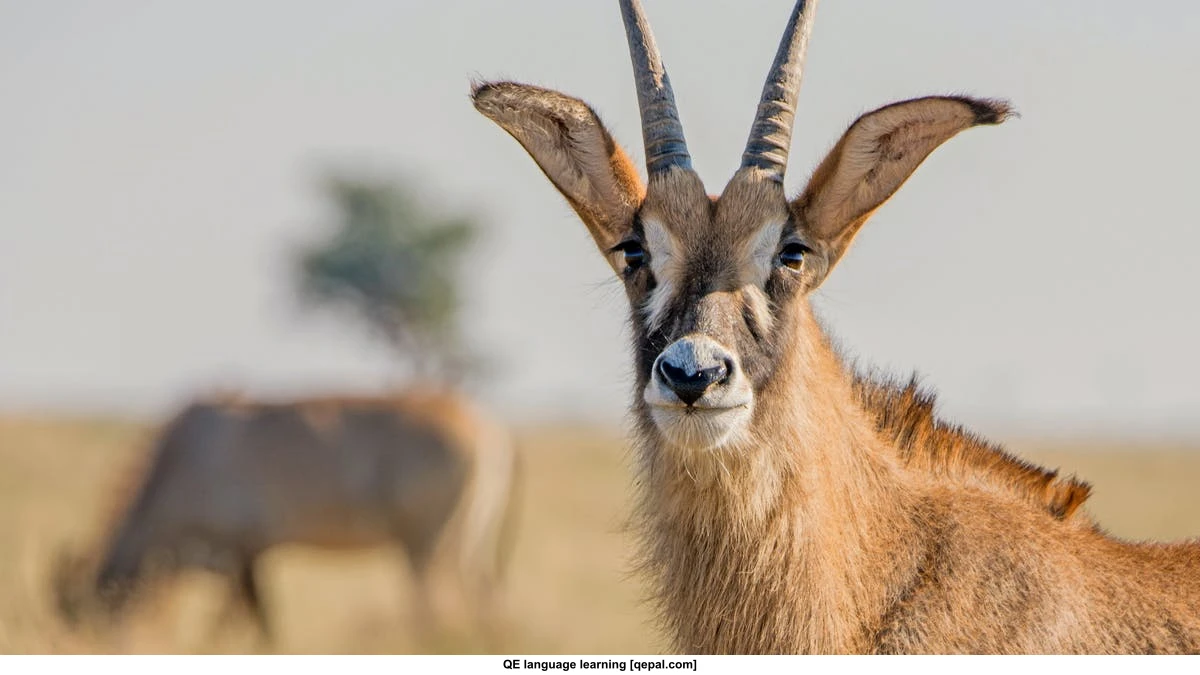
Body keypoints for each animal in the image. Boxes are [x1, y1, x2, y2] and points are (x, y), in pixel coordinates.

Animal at [55, 387, 520, 644]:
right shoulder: (244, 562)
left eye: (90, 611)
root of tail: (485, 428)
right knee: (483, 591)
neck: (185, 455)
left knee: (430, 599)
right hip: (469, 542)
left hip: (425, 544)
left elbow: (261, 622)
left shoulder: (244, 556)